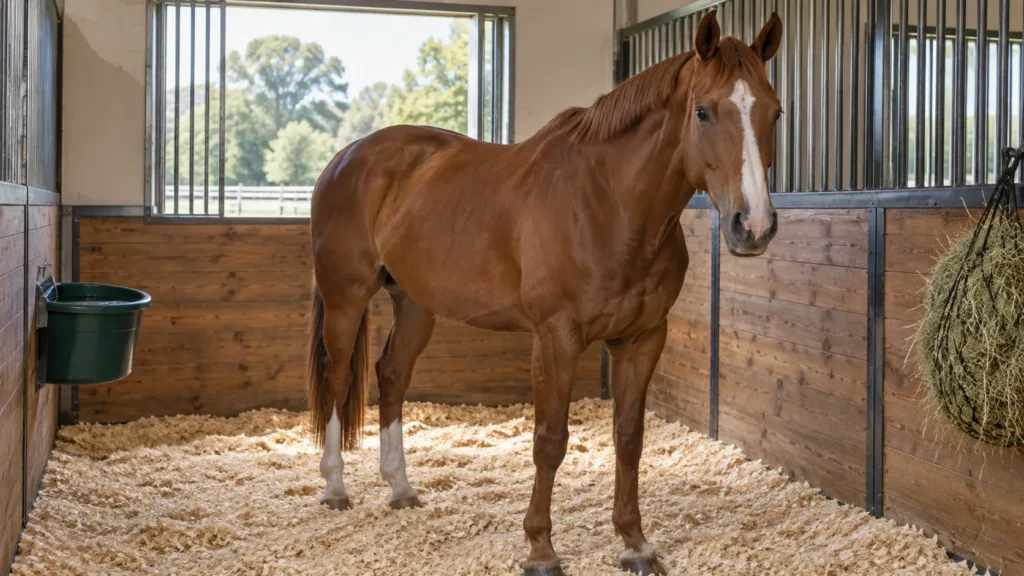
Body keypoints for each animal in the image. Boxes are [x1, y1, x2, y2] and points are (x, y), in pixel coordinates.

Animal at [306, 10, 783, 576]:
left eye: (775, 113)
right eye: (704, 112)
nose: (753, 226)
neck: (608, 204)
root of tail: (346, 157)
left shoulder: (643, 338)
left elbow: (629, 438)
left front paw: (635, 542)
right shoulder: (555, 338)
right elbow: (550, 441)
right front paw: (540, 549)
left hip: (416, 305)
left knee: (392, 374)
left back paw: (400, 487)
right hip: (346, 298)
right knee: (337, 379)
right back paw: (335, 488)